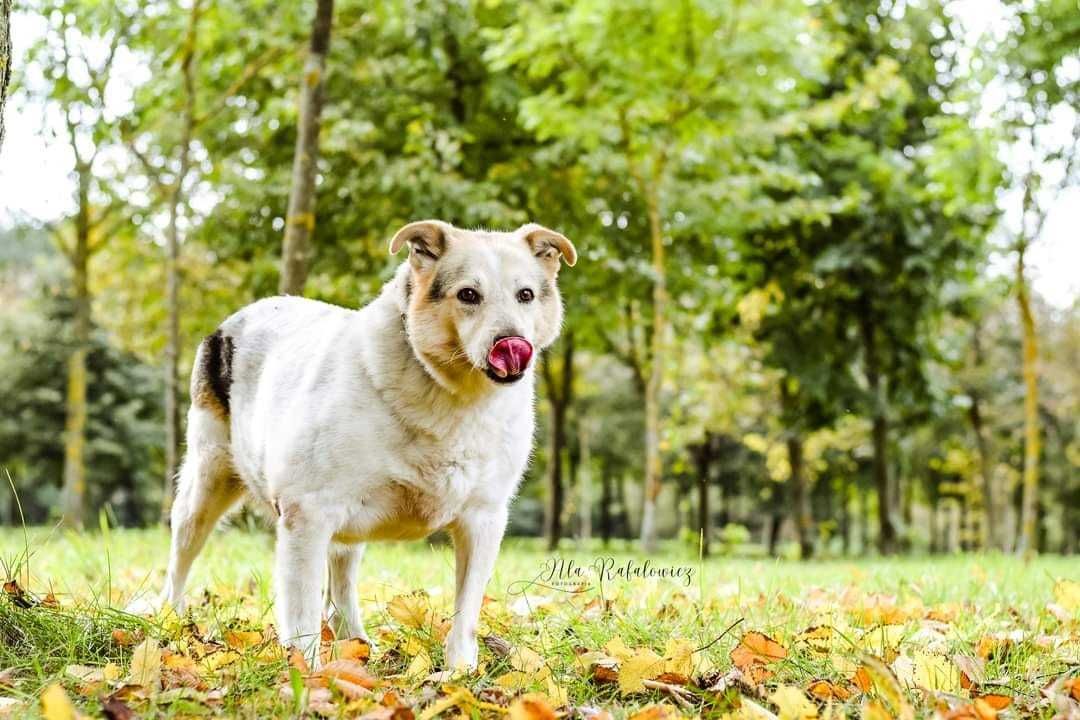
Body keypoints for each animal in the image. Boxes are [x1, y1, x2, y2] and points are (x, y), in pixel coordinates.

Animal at [157, 220, 578, 669]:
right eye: (468, 294)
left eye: (525, 295)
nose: (514, 345)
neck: (450, 396)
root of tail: (237, 319)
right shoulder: (307, 516)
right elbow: (302, 615)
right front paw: (308, 675)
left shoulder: (483, 519)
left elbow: (465, 612)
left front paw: (458, 674)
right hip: (207, 482)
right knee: (181, 555)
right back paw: (170, 618)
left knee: (341, 580)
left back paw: (354, 639)